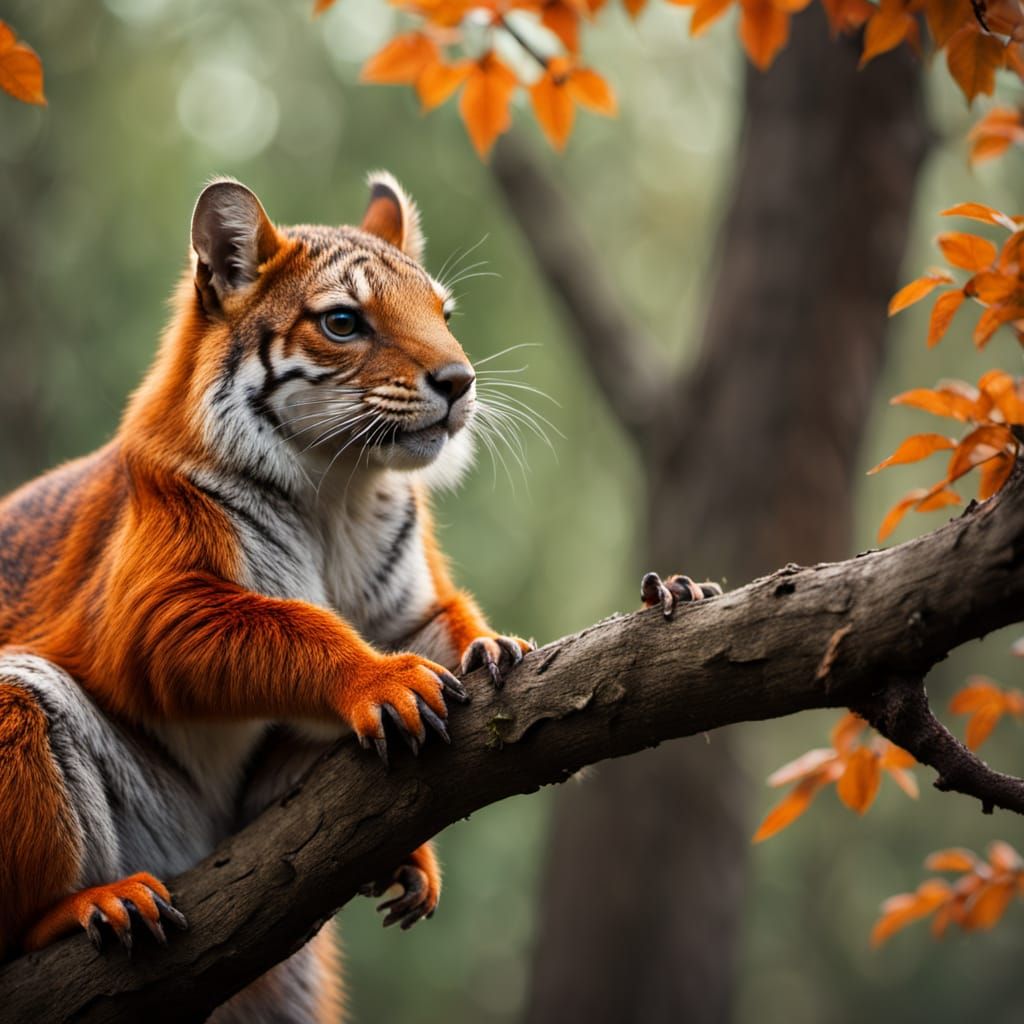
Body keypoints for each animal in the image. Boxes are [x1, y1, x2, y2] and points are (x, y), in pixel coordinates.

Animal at [0, 172, 534, 1022]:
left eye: (443, 315)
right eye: (344, 322)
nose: (460, 383)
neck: (342, 489)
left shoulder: (404, 605)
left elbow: (447, 619)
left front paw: (494, 646)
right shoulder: (165, 610)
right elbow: (296, 626)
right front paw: (382, 679)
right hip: (16, 701)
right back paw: (97, 904)